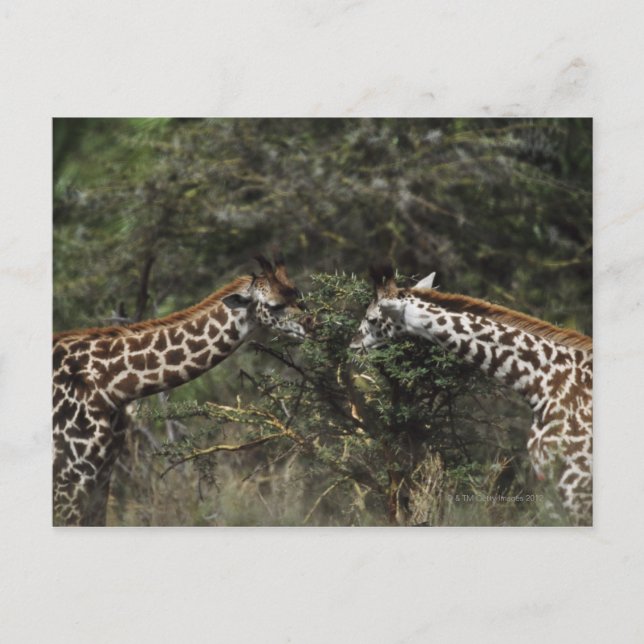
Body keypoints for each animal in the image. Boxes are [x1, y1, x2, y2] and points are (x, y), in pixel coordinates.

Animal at [53, 256, 309, 526]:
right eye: (274, 305)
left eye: (297, 294)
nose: (312, 323)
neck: (109, 386)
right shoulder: (69, 479)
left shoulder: (101, 477)